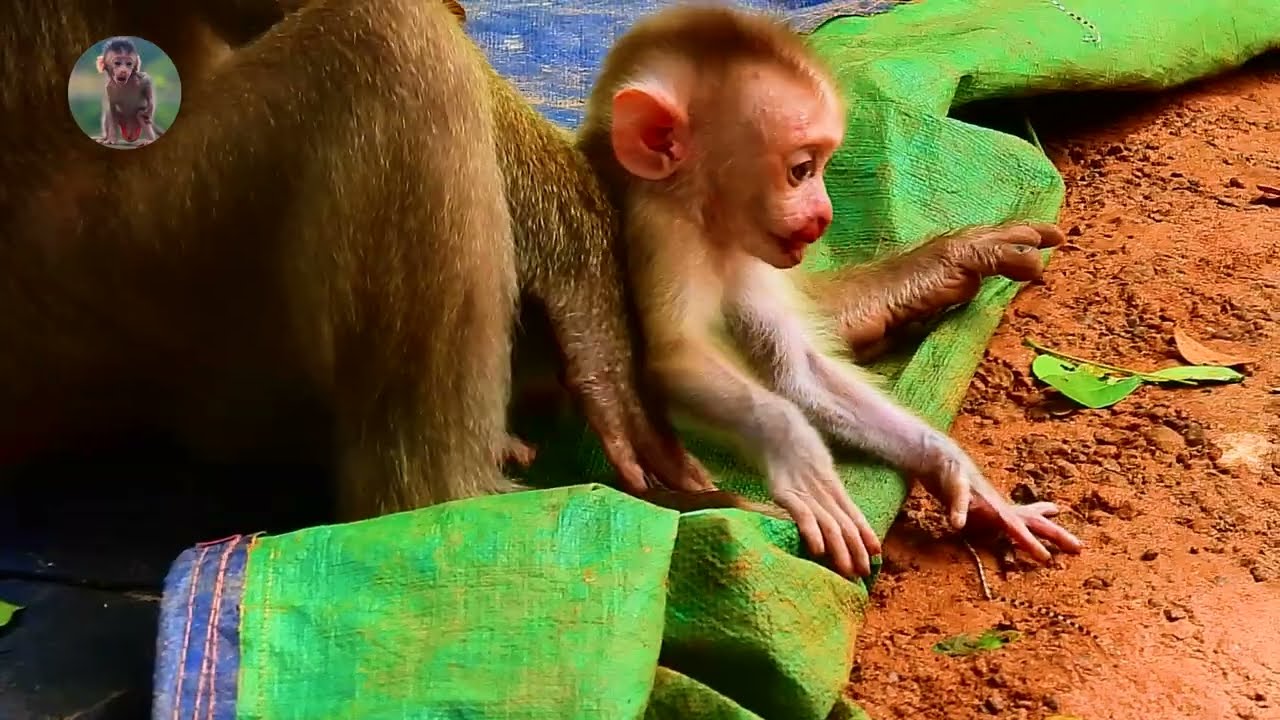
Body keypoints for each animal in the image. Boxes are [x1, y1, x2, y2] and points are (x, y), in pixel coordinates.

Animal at [574, 6, 1084, 578]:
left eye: (823, 167)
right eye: (801, 171)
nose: (824, 215)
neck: (710, 229)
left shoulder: (753, 257)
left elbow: (796, 372)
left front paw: (958, 473)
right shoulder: (664, 232)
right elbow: (674, 359)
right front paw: (796, 451)